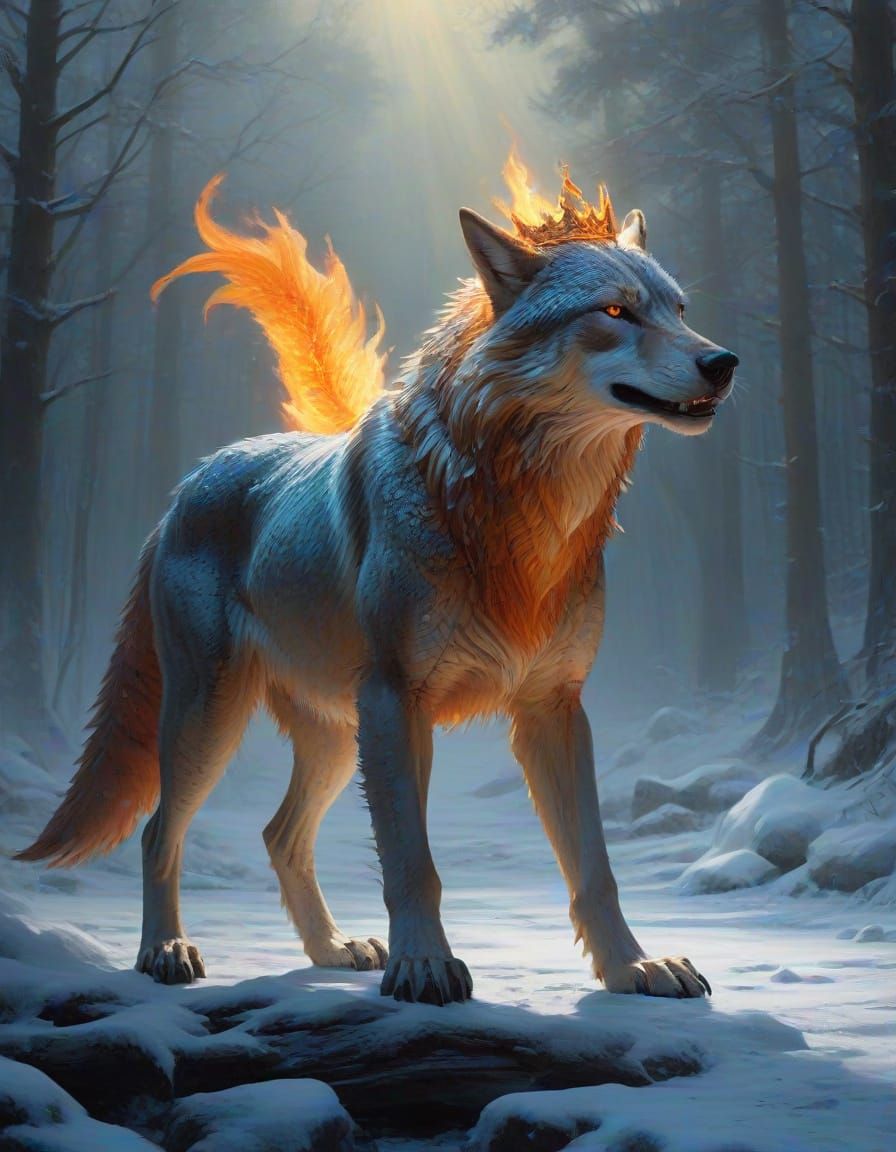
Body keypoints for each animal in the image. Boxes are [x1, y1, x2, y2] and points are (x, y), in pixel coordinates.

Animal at [19, 159, 735, 1005]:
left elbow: (594, 868)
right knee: (162, 828)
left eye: (679, 309)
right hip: (213, 715)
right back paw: (165, 951)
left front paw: (633, 968)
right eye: (617, 311)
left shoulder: (554, 708)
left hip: (334, 736)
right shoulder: (398, 701)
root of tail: (188, 486)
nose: (723, 362)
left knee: (278, 834)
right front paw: (423, 966)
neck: (521, 517)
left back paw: (331, 950)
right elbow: (412, 863)